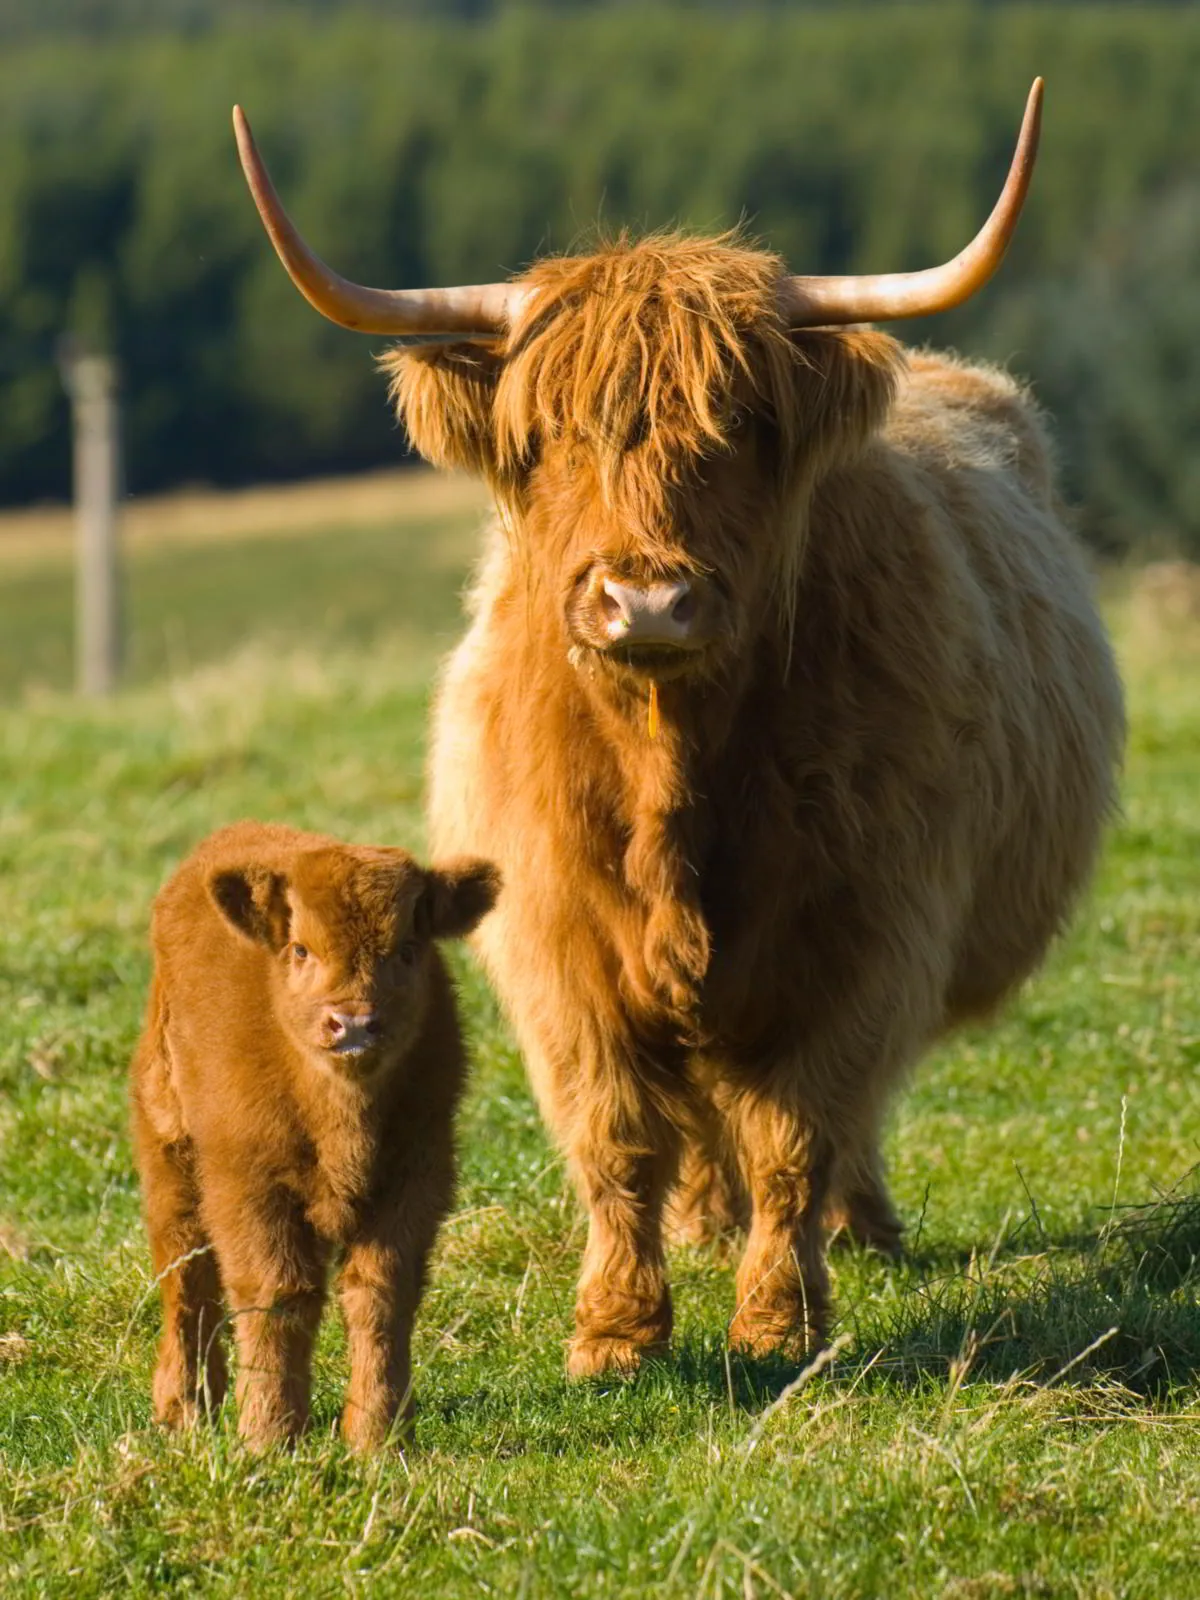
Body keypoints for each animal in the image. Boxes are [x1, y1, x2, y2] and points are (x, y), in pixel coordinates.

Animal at [131, 821, 498, 1449]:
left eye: (407, 949)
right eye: (301, 949)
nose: (353, 1024)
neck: (341, 1116)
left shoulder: (415, 1179)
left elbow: (380, 1295)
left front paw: (378, 1436)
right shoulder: (249, 1187)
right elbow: (277, 1296)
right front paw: (269, 1435)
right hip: (170, 1155)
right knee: (185, 1275)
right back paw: (184, 1407)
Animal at [234, 80, 1125, 1377]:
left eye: (742, 423)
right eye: (551, 434)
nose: (646, 599)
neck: (673, 771)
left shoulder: (863, 934)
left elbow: (802, 1126)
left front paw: (780, 1321)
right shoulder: (557, 947)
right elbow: (616, 1136)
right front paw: (615, 1331)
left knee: (831, 1114)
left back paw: (854, 1226)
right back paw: (707, 1222)